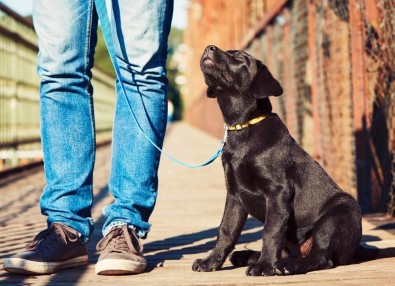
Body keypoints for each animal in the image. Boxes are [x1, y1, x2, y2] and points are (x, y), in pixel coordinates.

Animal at [193, 45, 364, 276]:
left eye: (240, 58)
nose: (209, 47)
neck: (244, 127)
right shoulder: (234, 195)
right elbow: (226, 230)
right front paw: (210, 262)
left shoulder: (277, 191)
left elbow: (271, 231)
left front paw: (265, 266)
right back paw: (246, 256)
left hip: (339, 214)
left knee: (321, 257)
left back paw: (286, 265)